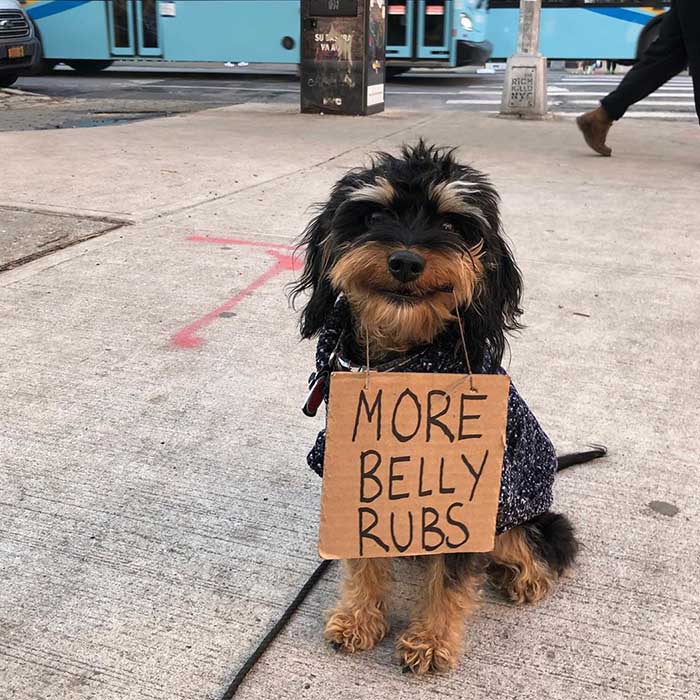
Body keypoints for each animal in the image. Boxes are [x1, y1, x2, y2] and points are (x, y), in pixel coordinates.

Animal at [290, 141, 600, 672]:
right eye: (374, 215)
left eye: (454, 225)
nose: (405, 262)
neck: (405, 360)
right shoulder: (360, 475)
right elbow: (364, 557)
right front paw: (358, 618)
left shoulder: (464, 493)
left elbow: (452, 580)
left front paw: (432, 641)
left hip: (522, 516)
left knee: (546, 544)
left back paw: (526, 578)